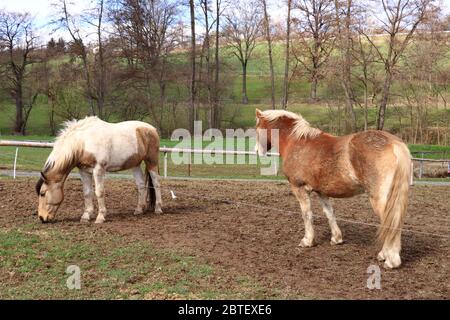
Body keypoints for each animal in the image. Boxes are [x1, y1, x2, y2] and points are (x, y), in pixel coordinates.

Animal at [253, 109, 412, 268]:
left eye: (257, 128)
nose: (256, 151)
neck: (296, 142)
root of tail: (394, 144)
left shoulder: (299, 188)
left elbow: (307, 214)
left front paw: (307, 241)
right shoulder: (322, 191)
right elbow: (329, 213)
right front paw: (336, 238)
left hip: (380, 200)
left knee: (390, 223)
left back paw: (390, 260)